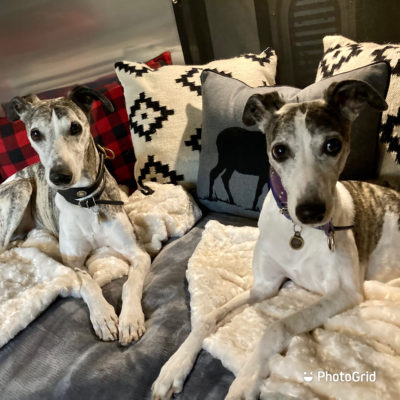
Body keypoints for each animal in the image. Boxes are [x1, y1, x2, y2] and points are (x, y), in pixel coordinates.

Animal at [1, 86, 151, 345]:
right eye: (35, 133)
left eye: (75, 127)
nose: (59, 176)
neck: (85, 201)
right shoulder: (73, 263)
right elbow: (88, 285)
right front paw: (103, 317)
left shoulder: (137, 252)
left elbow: (130, 283)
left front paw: (130, 319)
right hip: (21, 187)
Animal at [152, 79, 400, 400]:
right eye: (279, 150)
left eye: (332, 145)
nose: (310, 212)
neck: (300, 233)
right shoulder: (265, 286)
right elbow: (208, 317)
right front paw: (174, 367)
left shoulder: (344, 293)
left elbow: (277, 327)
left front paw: (245, 381)